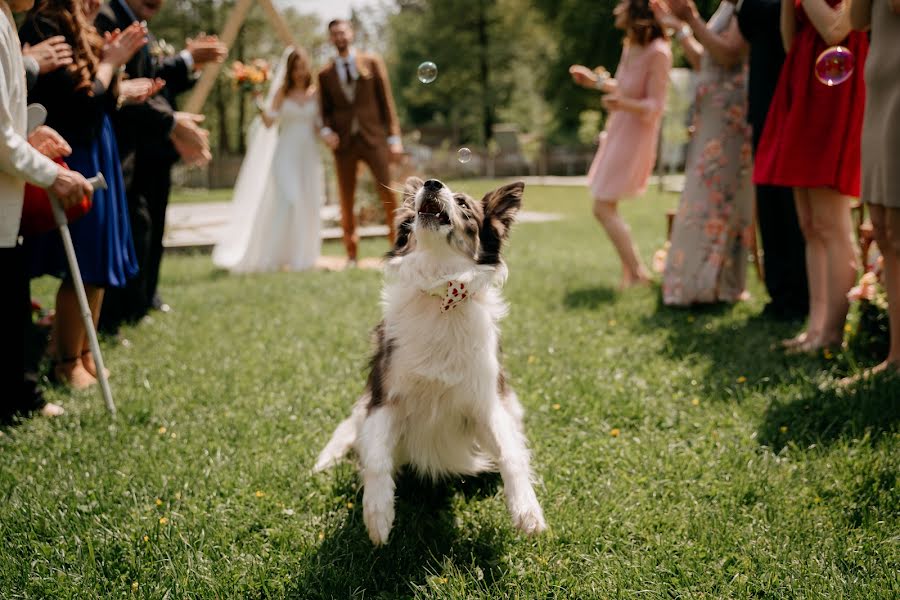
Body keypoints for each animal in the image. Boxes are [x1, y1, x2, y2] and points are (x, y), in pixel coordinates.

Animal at [312, 177, 544, 544]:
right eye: (425, 186)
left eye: (464, 205)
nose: (432, 183)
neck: (441, 294)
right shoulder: (384, 397)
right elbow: (376, 457)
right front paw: (377, 514)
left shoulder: (486, 401)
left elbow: (511, 452)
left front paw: (527, 510)